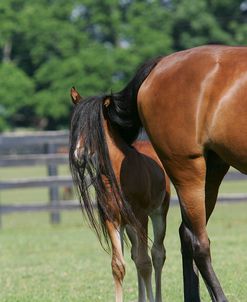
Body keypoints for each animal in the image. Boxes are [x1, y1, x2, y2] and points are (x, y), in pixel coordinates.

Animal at [69, 87, 170, 302]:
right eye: (75, 125)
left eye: (95, 127)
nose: (79, 155)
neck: (116, 173)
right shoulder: (112, 219)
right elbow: (119, 265)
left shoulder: (140, 217)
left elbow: (145, 263)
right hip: (128, 225)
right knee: (134, 255)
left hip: (157, 213)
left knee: (157, 255)